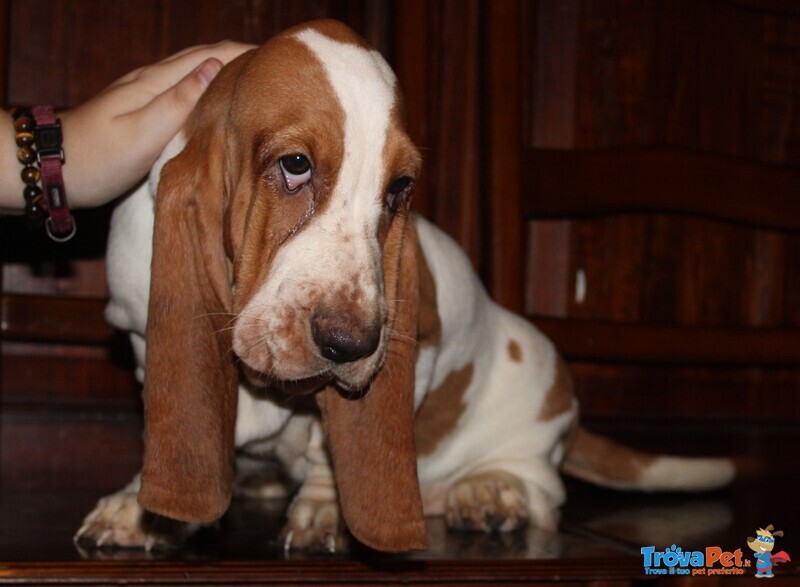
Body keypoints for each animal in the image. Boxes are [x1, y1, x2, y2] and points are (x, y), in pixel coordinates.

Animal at [76, 20, 736, 552]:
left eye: (399, 189)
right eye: (295, 165)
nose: (352, 344)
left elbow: (325, 448)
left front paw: (324, 513)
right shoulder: (143, 340)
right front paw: (143, 512)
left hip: (534, 406)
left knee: (543, 488)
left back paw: (488, 495)